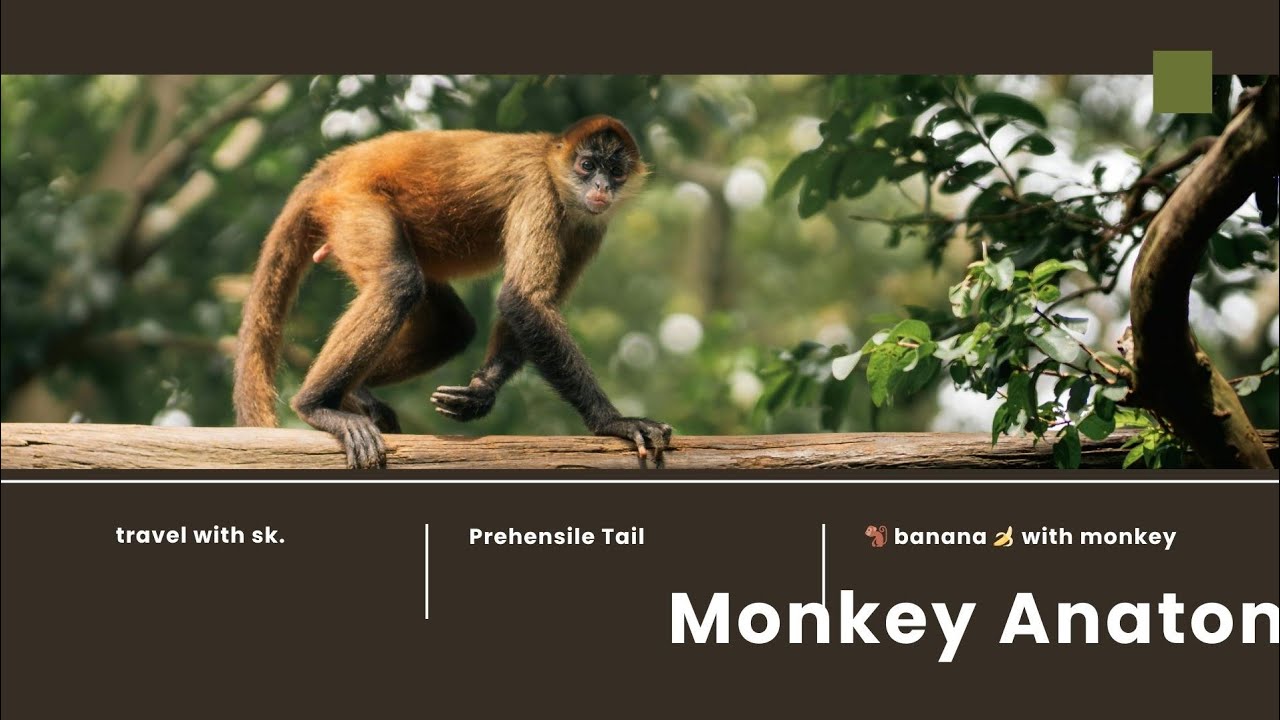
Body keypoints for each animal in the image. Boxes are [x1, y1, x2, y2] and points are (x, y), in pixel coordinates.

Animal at [233, 115, 673, 469]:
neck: (551, 163)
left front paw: (479, 395)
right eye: (587, 165)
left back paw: (354, 391)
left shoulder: (589, 224)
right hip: (352, 200)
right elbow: (522, 300)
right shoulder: (539, 188)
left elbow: (528, 306)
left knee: (452, 328)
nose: (601, 185)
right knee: (398, 283)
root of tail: (337, 163)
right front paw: (614, 422)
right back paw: (316, 406)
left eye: (615, 170)